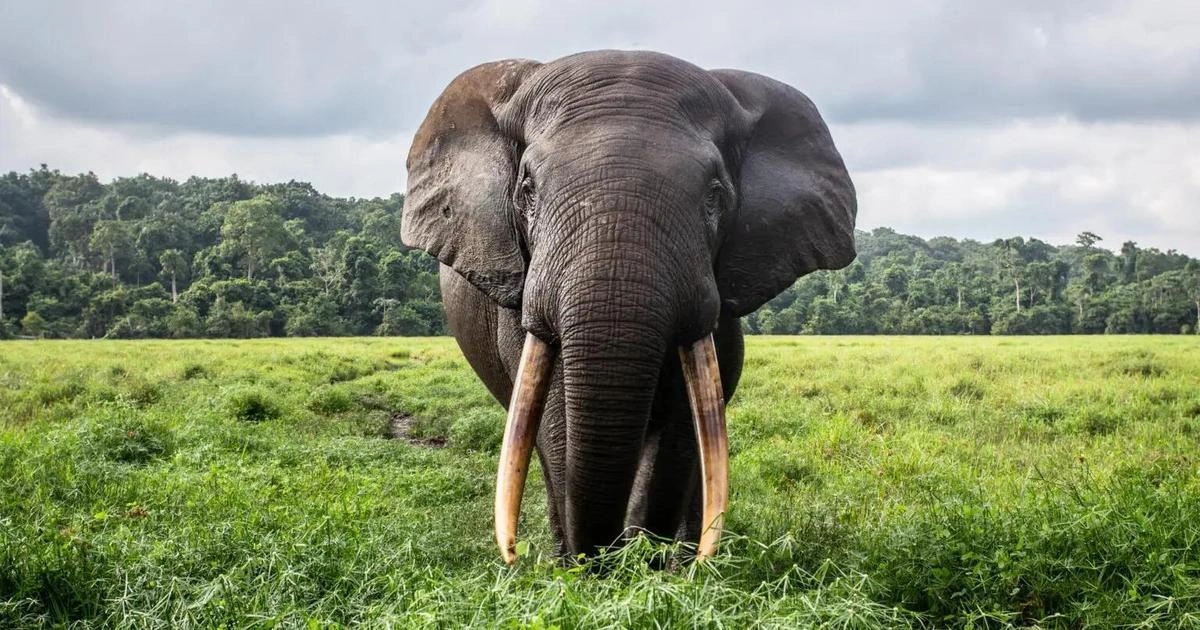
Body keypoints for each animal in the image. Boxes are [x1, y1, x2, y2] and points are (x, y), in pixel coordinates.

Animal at [401, 50, 856, 563]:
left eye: (715, 195)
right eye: (527, 190)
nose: (604, 560)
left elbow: (684, 419)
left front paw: (649, 567)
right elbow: (556, 413)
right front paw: (584, 571)